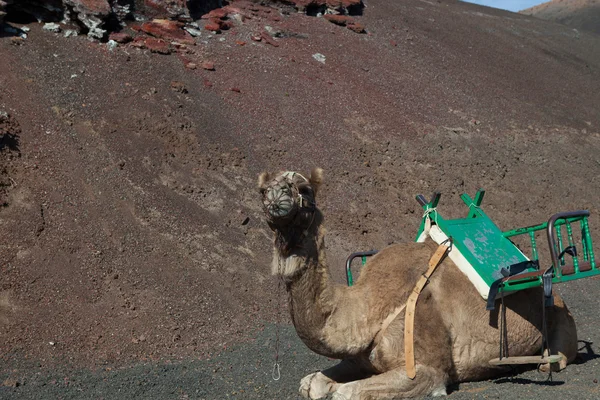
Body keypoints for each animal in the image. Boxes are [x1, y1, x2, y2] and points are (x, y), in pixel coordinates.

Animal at [256, 167, 576, 398]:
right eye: (261, 189)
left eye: (304, 189)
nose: (275, 196)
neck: (370, 307)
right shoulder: (361, 358)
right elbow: (311, 384)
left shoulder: (427, 369)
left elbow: (345, 394)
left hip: (562, 320)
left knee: (559, 357)